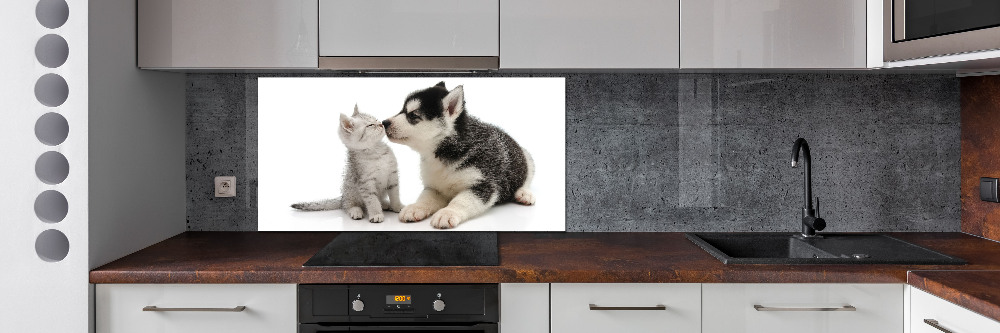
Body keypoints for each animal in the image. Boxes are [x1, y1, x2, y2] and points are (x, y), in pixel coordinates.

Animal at [382, 82, 540, 228]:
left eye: (413, 115)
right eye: (402, 110)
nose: (384, 122)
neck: (445, 151)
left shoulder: (483, 184)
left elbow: (461, 201)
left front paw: (447, 212)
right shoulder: (435, 187)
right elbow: (425, 198)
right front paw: (415, 207)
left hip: (527, 159)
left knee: (527, 179)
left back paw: (524, 194)